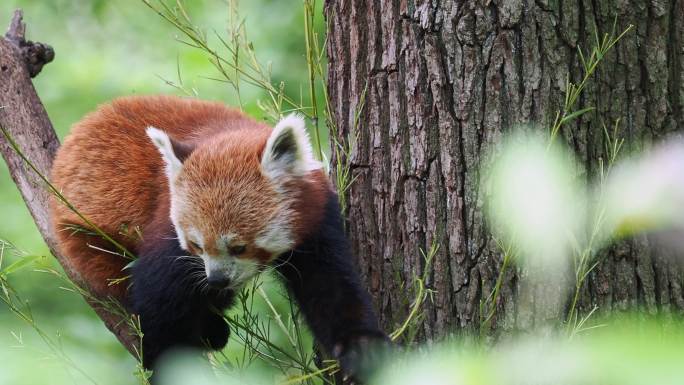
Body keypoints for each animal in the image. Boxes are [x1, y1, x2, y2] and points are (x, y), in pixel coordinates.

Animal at [50, 95, 388, 378]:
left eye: (239, 247)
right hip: (85, 235)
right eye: (196, 245)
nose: (216, 279)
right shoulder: (167, 228)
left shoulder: (316, 221)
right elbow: (160, 303)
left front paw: (361, 347)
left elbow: (331, 286)